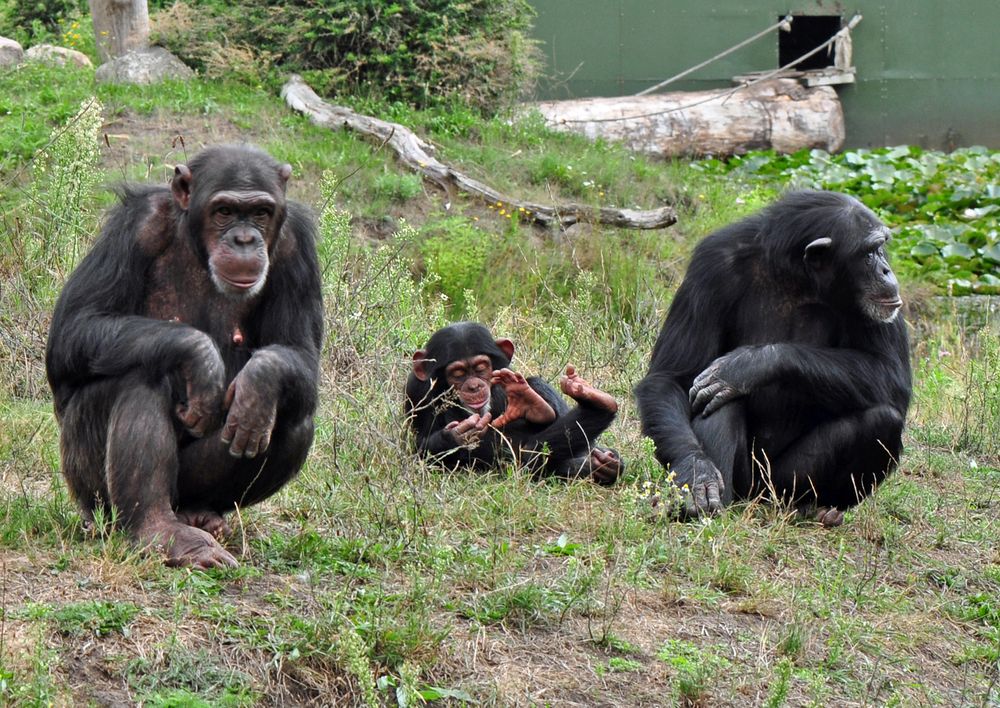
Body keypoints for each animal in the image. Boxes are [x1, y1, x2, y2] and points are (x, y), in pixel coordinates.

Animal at [46, 145, 320, 568]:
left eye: (260, 212)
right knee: (142, 374)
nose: (244, 239)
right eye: (224, 211)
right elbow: (76, 326)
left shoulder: (297, 248)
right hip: (85, 482)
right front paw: (199, 356)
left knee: (292, 416)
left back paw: (201, 513)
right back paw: (162, 533)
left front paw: (260, 383)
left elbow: (301, 354)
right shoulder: (136, 224)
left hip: (188, 487)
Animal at [406, 322, 624, 484]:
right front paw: (458, 436)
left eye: (481, 368)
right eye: (457, 374)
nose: (473, 386)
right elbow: (417, 450)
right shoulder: (416, 390)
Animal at [636, 191, 912, 524]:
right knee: (715, 400)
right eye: (869, 253)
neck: (797, 275)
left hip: (780, 485)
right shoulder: (711, 264)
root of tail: (755, 497)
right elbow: (671, 377)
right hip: (747, 482)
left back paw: (815, 509)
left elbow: (891, 374)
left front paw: (747, 366)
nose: (886, 270)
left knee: (883, 420)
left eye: (880, 248)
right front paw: (697, 473)